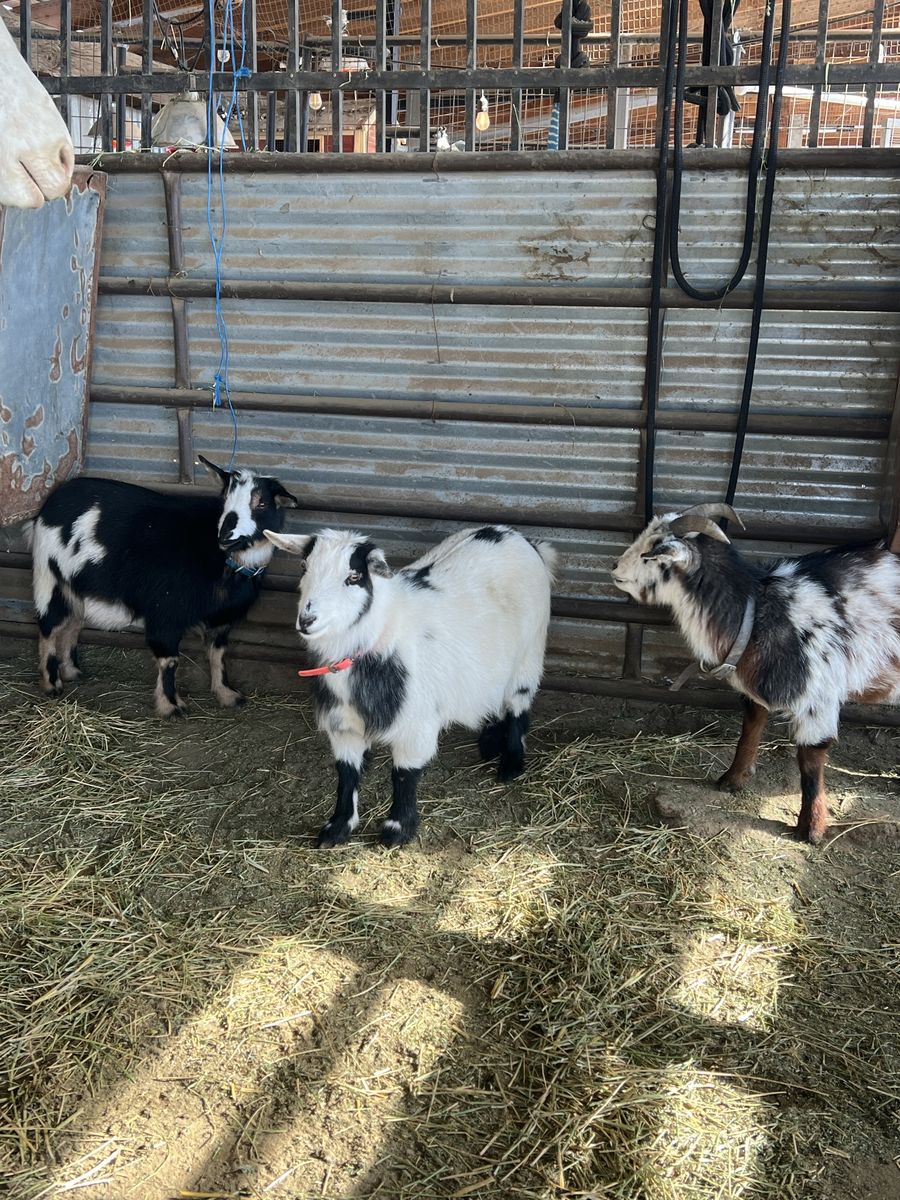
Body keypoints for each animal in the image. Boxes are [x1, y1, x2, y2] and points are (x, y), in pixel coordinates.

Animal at [31, 456, 298, 717]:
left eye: (261, 503)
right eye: (224, 498)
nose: (226, 537)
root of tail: (54, 500)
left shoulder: (221, 619)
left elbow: (219, 655)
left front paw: (227, 694)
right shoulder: (166, 611)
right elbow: (170, 660)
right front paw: (171, 705)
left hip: (75, 588)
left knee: (72, 624)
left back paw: (72, 671)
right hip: (51, 577)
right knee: (49, 628)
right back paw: (52, 683)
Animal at [265, 524, 557, 848]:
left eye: (353, 577)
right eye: (304, 567)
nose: (307, 619)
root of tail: (518, 537)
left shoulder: (416, 723)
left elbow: (404, 775)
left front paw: (397, 829)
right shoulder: (344, 724)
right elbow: (347, 774)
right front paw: (337, 828)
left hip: (530, 652)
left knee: (519, 705)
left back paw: (511, 763)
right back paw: (490, 742)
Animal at [612, 502, 900, 844]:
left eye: (653, 551)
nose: (614, 567)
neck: (759, 610)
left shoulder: (818, 695)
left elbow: (810, 763)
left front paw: (811, 828)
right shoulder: (758, 687)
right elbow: (749, 730)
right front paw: (731, 780)